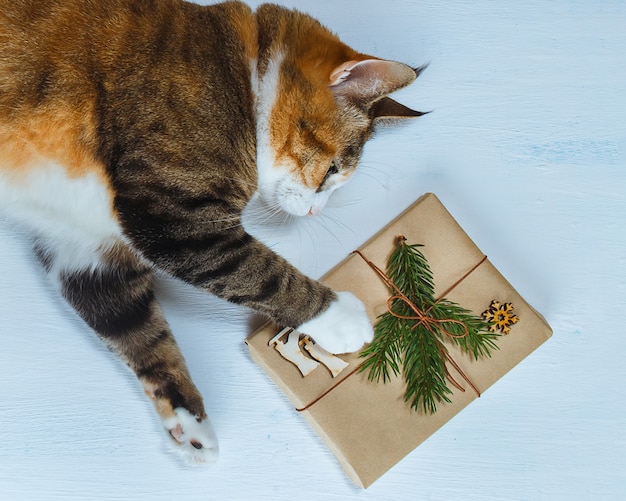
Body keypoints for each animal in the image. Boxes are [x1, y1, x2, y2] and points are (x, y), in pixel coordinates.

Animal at [0, 0, 424, 462]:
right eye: (331, 169)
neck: (245, 79)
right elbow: (261, 272)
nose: (315, 212)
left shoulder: (88, 249)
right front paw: (340, 317)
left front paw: (190, 422)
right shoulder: (172, 214)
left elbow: (139, 330)